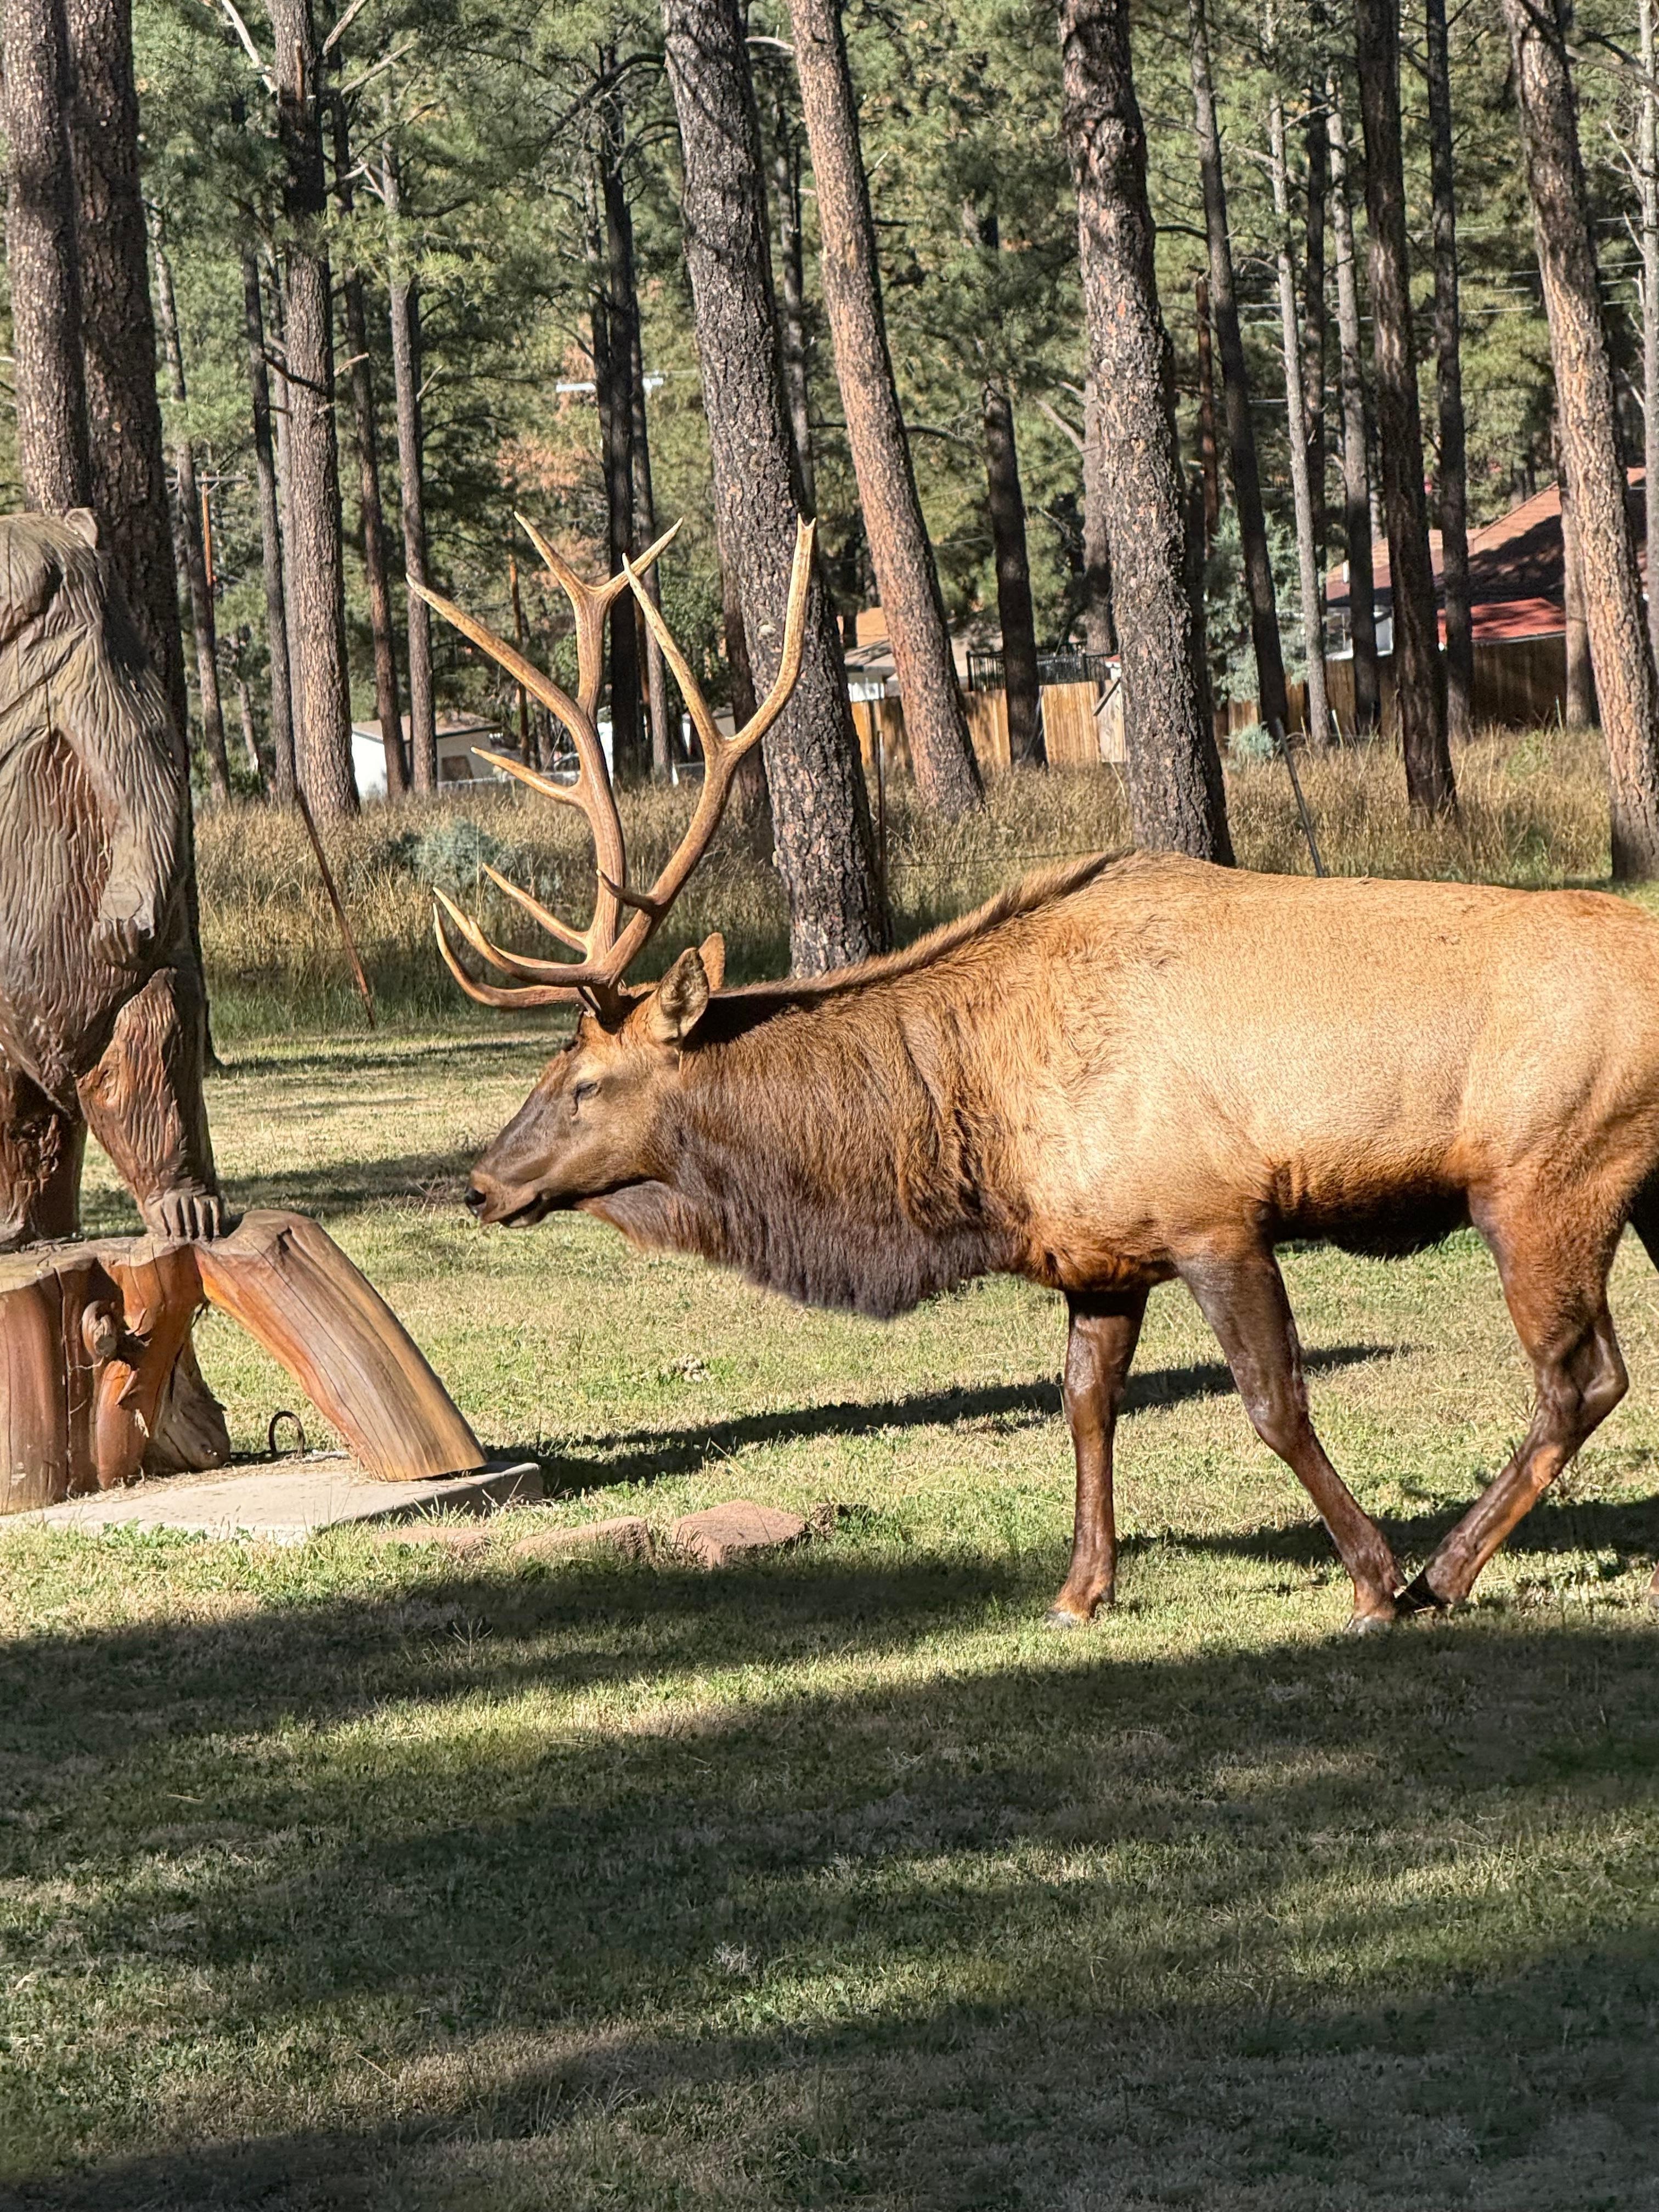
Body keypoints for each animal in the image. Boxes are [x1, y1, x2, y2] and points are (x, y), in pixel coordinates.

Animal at [415, 518, 1659, 1635]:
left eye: (584, 1080)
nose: (481, 1183)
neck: (975, 1152)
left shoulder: (1213, 1216)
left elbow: (1273, 1405)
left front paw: (1370, 1581)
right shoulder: (1101, 1253)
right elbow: (1084, 1406)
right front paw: (1077, 1589)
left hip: (1545, 1177)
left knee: (1579, 1379)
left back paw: (1444, 1570)